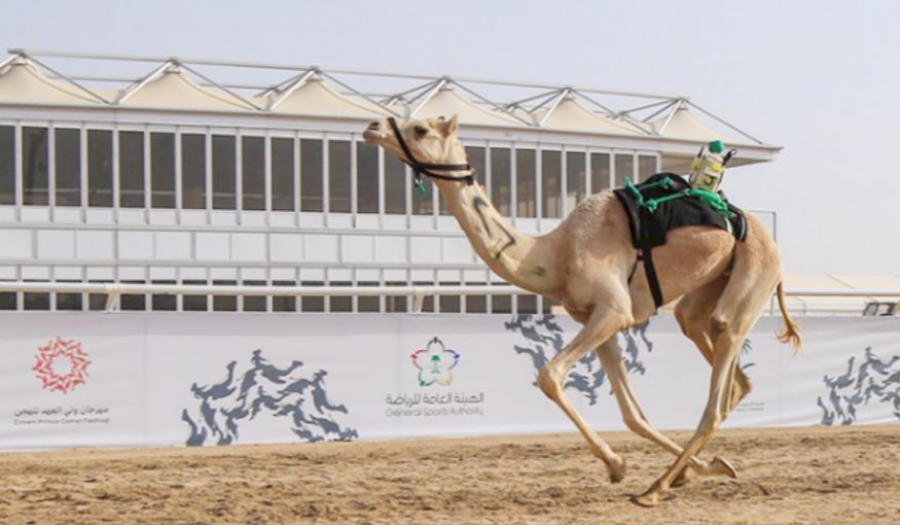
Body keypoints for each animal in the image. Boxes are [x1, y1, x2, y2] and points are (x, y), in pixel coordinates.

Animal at [362, 113, 800, 504]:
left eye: (420, 128)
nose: (373, 126)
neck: (555, 253)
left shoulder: (613, 310)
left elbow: (550, 376)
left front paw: (617, 465)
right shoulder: (597, 318)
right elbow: (632, 414)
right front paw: (695, 469)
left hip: (754, 273)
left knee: (717, 387)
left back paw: (655, 490)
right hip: (705, 293)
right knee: (722, 364)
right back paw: (686, 472)